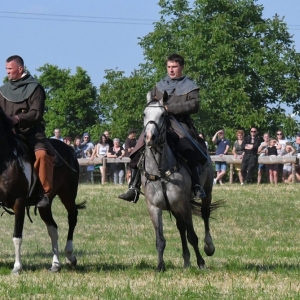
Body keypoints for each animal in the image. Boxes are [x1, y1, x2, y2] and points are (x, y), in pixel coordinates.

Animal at [0, 108, 85, 274]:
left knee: (72, 216)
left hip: (68, 194)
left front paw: (17, 267)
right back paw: (55, 264)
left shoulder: (19, 202)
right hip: (45, 205)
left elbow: (17, 237)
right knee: (53, 229)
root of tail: (70, 149)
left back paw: (70, 257)